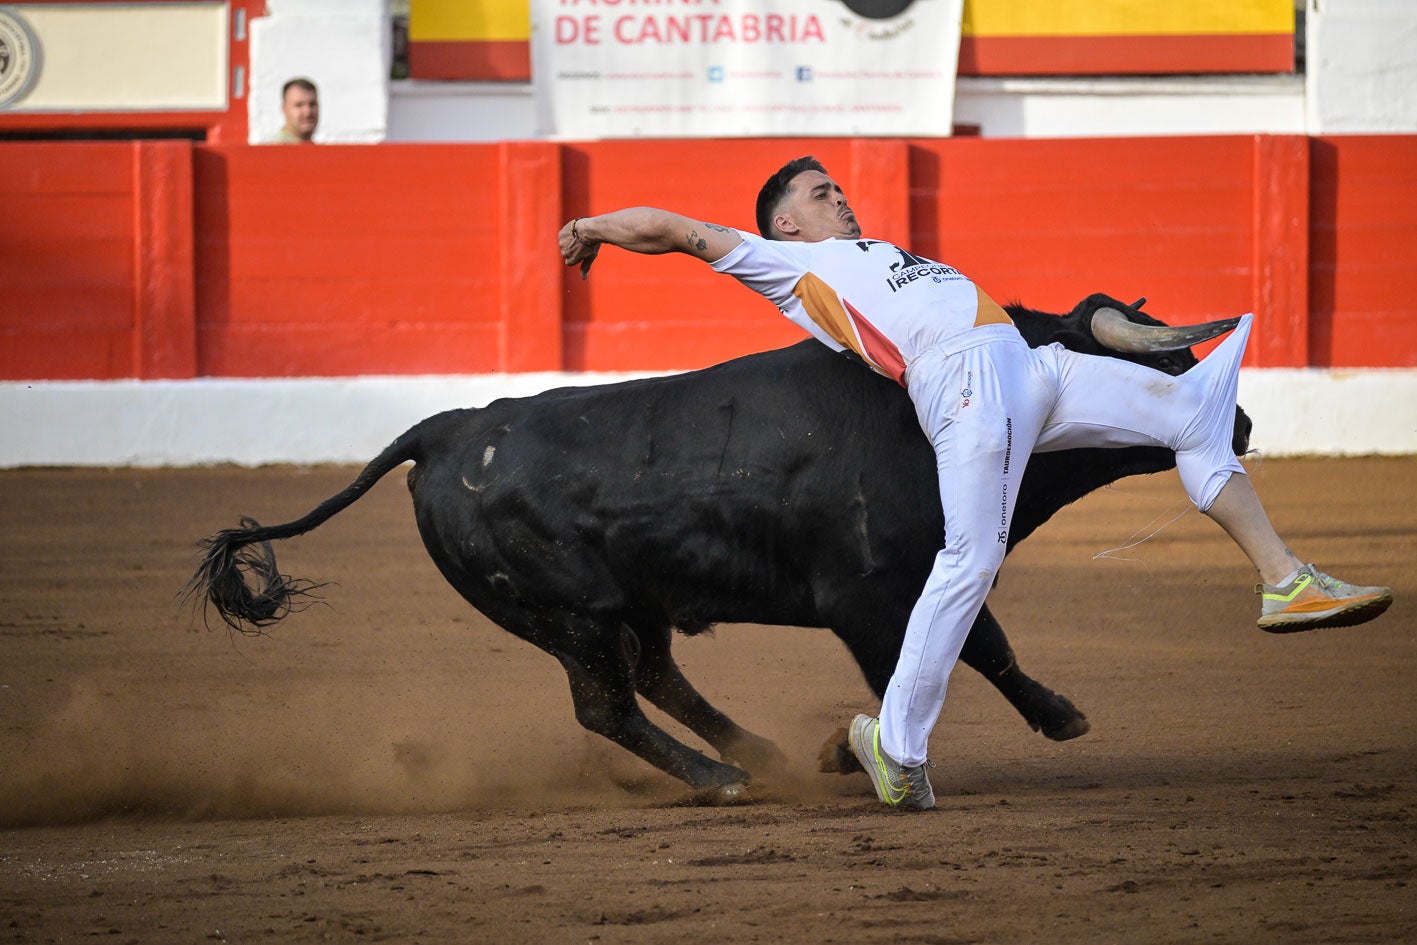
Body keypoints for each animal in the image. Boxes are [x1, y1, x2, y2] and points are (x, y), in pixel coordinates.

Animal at [191, 293, 1252, 799]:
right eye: (1155, 365)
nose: (1237, 421)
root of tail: (446, 429)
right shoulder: (870, 594)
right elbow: (955, 652)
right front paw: (1041, 721)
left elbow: (963, 649)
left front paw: (850, 751)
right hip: (567, 614)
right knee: (605, 705)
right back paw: (722, 778)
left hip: (630, 605)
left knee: (655, 677)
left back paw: (762, 752)